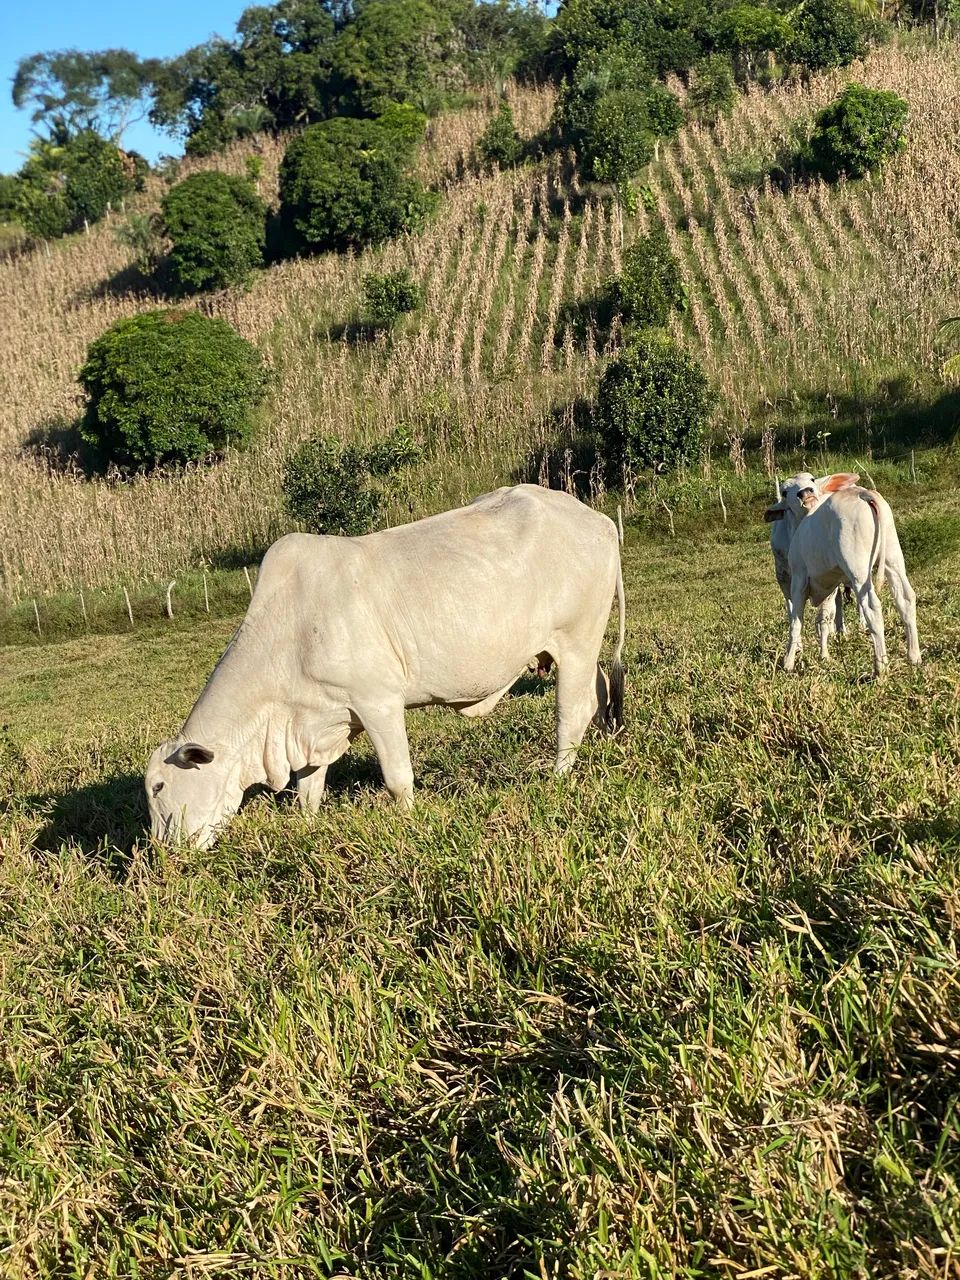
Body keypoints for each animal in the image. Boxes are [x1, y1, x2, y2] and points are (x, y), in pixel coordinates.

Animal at [146, 484, 626, 847]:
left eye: (158, 787)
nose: (163, 853)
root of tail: (598, 519)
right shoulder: (316, 720)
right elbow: (308, 788)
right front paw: (307, 826)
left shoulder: (377, 701)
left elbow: (397, 778)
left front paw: (410, 821)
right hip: (578, 649)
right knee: (600, 690)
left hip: (576, 639)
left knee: (571, 712)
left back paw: (558, 778)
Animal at [764, 471, 920, 675]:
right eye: (784, 491)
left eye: (812, 479)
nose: (805, 492)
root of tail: (861, 493)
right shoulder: (828, 584)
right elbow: (823, 618)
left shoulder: (799, 580)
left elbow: (796, 621)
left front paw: (788, 661)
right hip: (892, 558)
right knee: (905, 598)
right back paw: (914, 657)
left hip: (858, 569)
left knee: (871, 607)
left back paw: (880, 667)